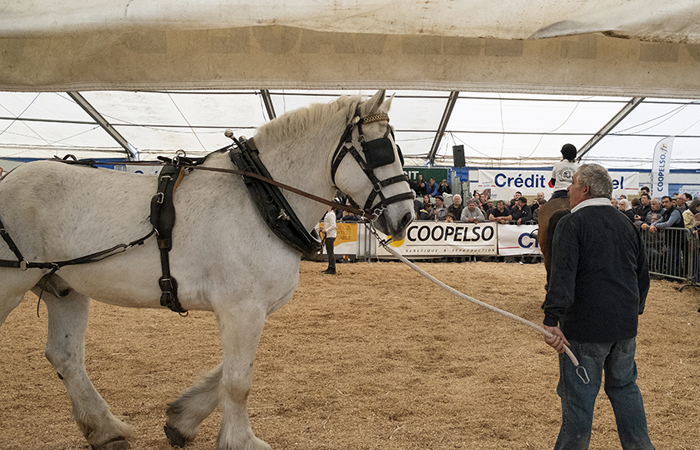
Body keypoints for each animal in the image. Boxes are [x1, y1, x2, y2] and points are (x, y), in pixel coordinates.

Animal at [0, 90, 414, 450]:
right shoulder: (242, 308)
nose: (407, 217)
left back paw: (106, 430)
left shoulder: (245, 310)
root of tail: (8, 176)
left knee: (66, 357)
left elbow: (230, 371)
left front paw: (182, 419)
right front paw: (241, 441)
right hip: (11, 284)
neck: (261, 200)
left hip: (62, 287)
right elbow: (238, 381)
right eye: (380, 150)